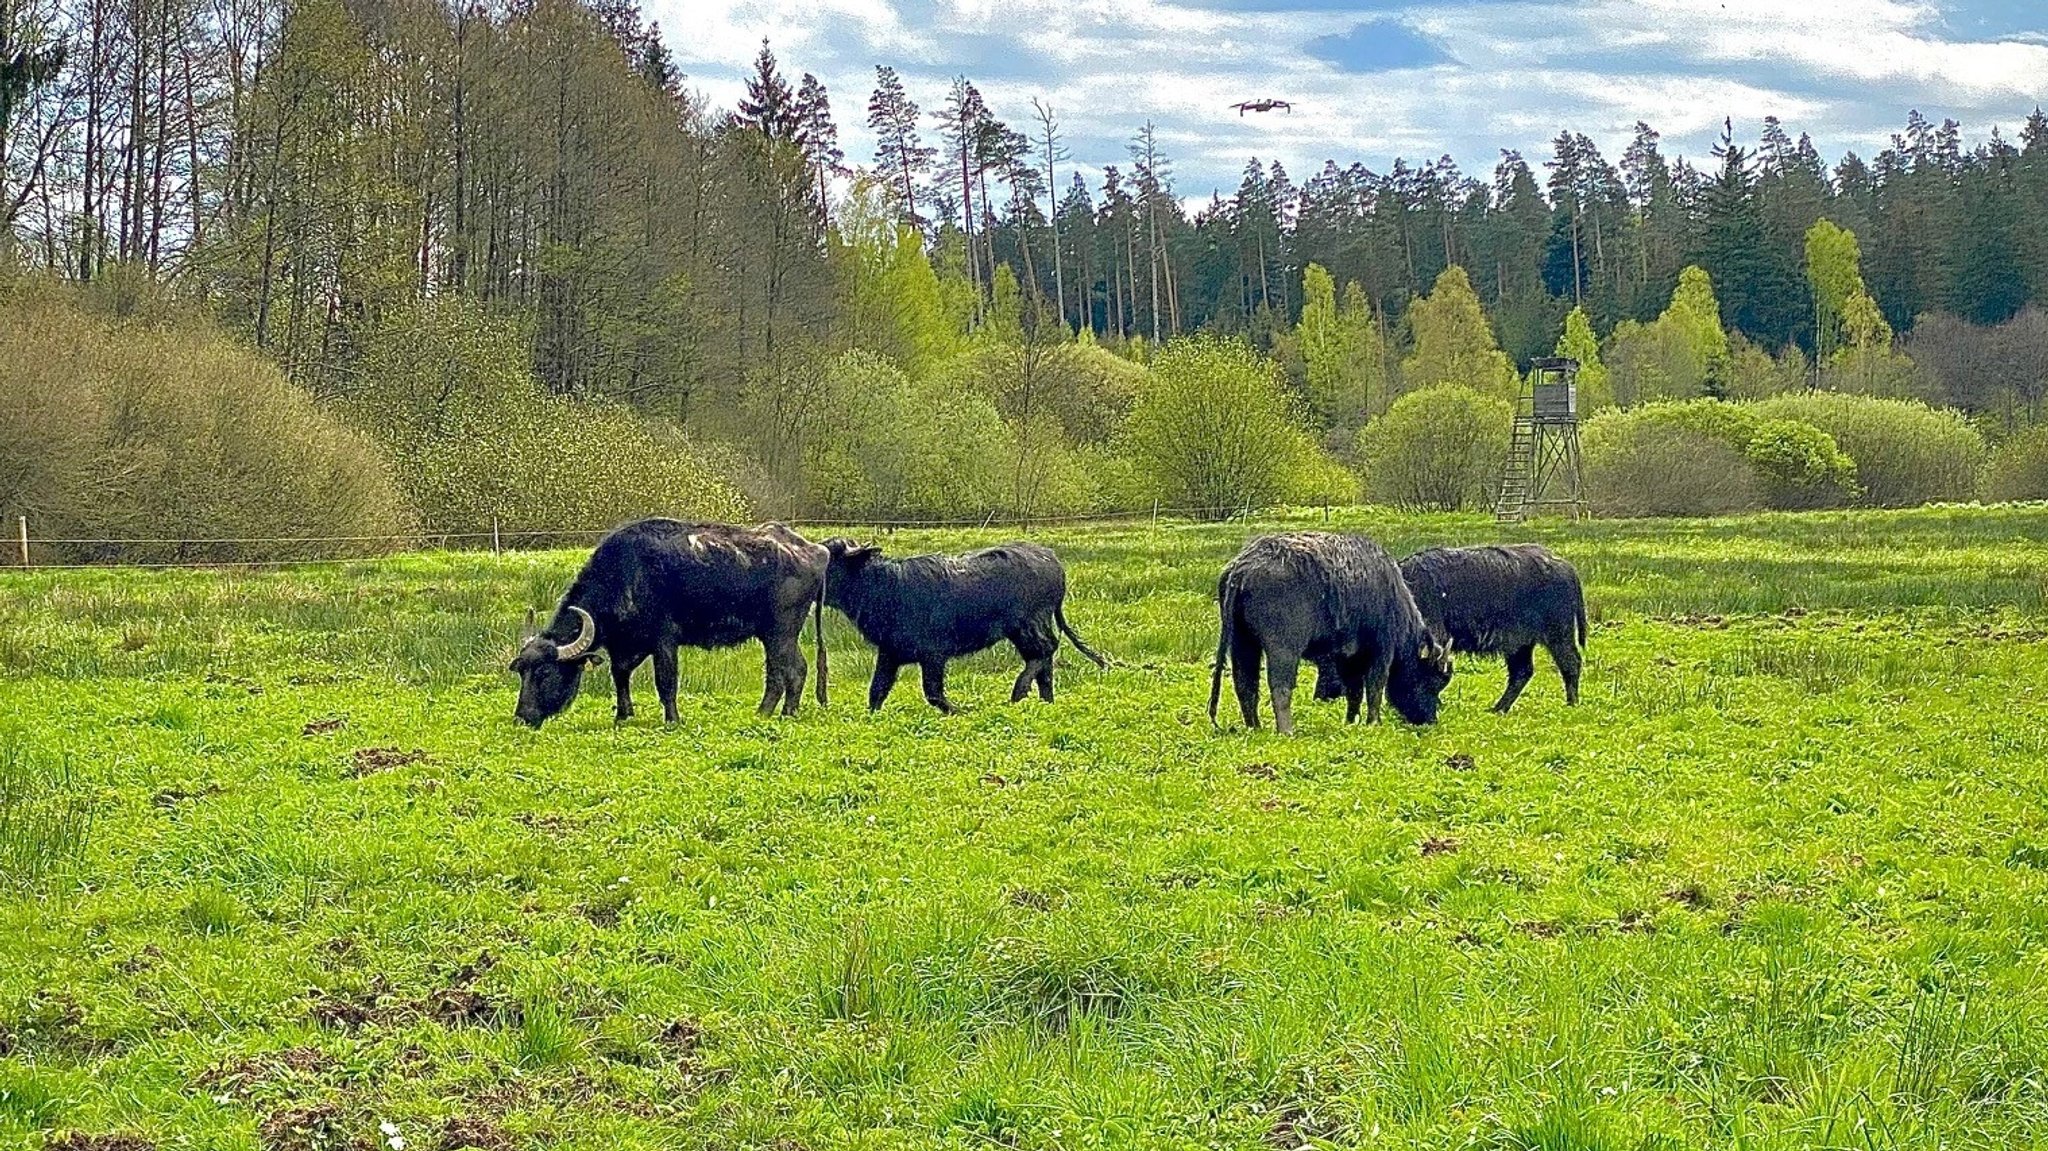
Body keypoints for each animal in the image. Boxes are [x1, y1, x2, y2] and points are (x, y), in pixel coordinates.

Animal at [507, 520, 827, 725]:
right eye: (521, 672)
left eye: (545, 672)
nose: (522, 718)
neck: (627, 576)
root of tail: (815, 551)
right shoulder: (624, 646)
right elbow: (619, 675)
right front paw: (623, 715)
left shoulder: (664, 641)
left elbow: (666, 681)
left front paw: (672, 720)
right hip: (778, 634)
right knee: (792, 669)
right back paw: (781, 713)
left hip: (780, 632)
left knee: (787, 671)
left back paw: (771, 713)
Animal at [815, 536, 1105, 708]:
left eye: (829, 556)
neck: (885, 587)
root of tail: (1053, 561)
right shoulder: (890, 653)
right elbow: (877, 691)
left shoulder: (933, 654)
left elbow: (933, 693)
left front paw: (961, 710)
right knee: (1044, 661)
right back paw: (1046, 701)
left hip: (1028, 624)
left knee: (1045, 650)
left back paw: (1018, 692)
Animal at [1212, 532, 1458, 729]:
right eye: (1432, 681)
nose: (1430, 719)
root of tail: (1242, 569)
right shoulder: (1382, 650)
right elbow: (1375, 685)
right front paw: (1373, 722)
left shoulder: (1347, 657)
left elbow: (1354, 690)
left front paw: (1351, 721)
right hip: (1282, 649)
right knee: (1279, 686)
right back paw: (1286, 729)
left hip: (1243, 643)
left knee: (1245, 683)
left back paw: (1254, 727)